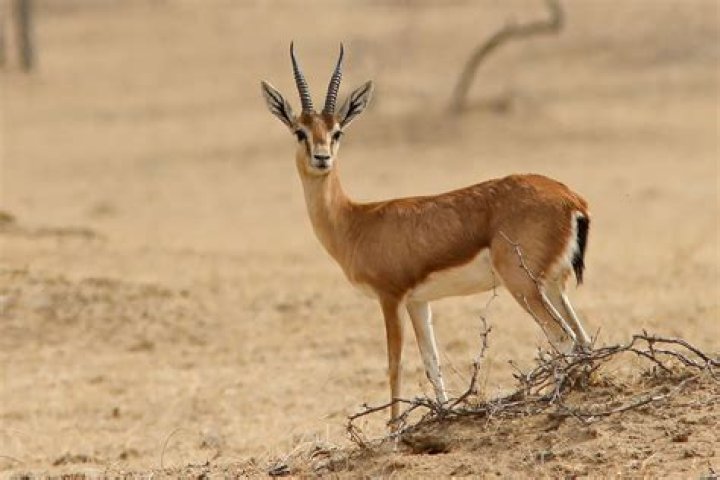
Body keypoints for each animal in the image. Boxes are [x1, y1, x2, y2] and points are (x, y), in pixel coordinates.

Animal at [260, 44, 592, 425]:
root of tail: (570, 198)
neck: (355, 221)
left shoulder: (390, 297)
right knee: (583, 339)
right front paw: (443, 414)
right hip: (552, 285)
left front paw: (393, 429)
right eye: (300, 131)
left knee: (563, 339)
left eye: (337, 131)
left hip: (522, 285)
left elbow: (395, 365)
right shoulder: (419, 302)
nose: (321, 157)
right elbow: (432, 363)